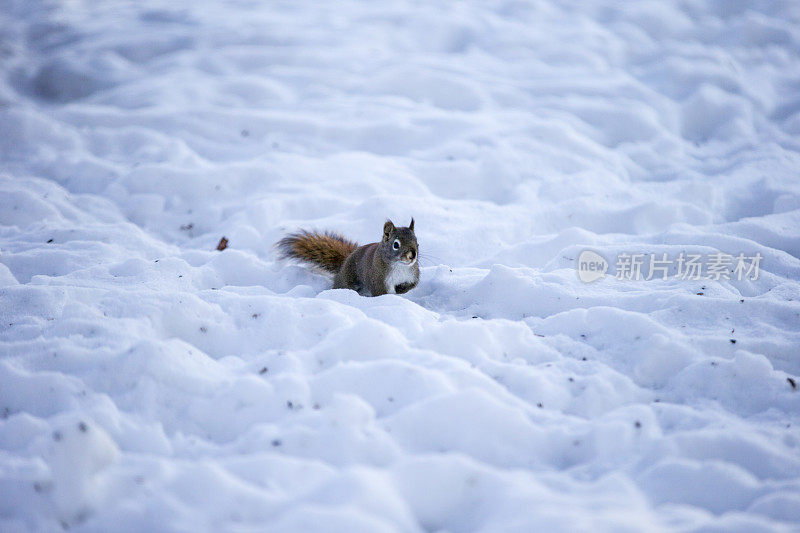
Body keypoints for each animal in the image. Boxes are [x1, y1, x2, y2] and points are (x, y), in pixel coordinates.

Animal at [276, 218, 418, 298]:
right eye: (396, 244)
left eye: (416, 242)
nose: (412, 256)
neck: (400, 266)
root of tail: (342, 266)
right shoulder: (377, 279)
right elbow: (381, 293)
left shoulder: (413, 275)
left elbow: (412, 285)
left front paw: (401, 289)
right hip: (348, 281)